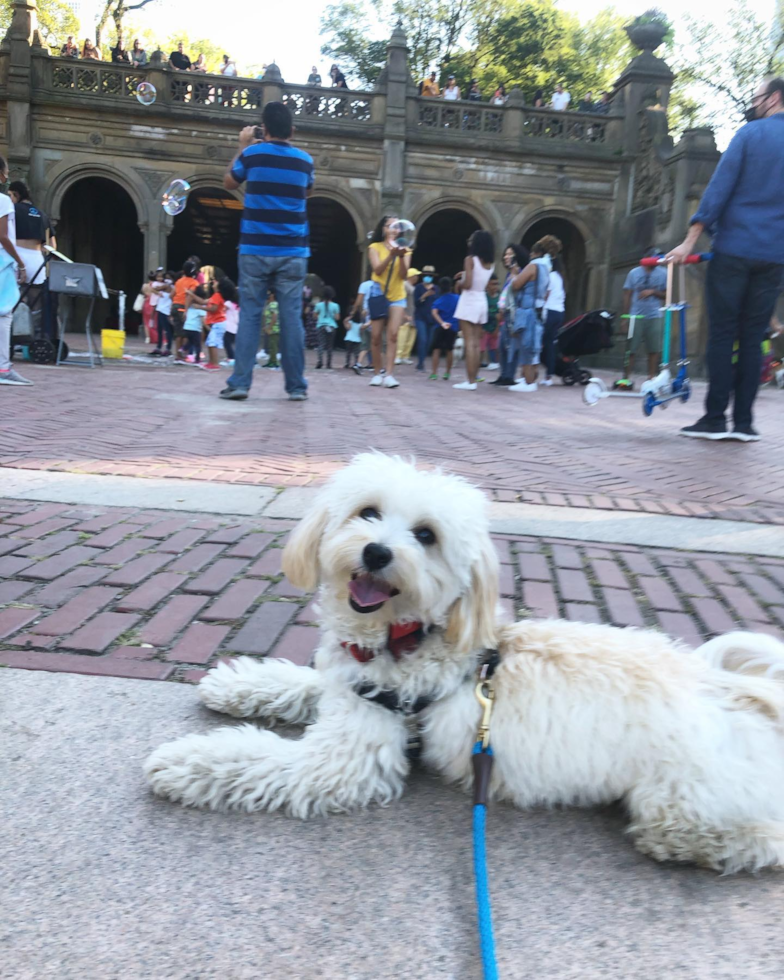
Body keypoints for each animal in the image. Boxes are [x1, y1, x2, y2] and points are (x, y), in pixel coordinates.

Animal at [144, 452, 784, 872]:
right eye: (367, 512)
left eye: (426, 535)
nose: (377, 552)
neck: (408, 637)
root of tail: (746, 697)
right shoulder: (349, 687)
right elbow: (298, 682)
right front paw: (238, 682)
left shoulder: (344, 759)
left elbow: (253, 758)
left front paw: (184, 761)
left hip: (681, 795)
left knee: (757, 838)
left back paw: (686, 845)